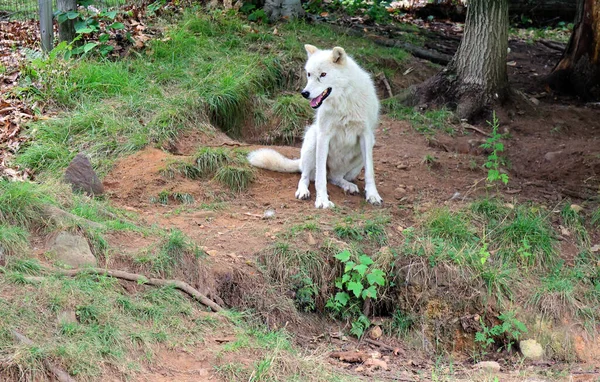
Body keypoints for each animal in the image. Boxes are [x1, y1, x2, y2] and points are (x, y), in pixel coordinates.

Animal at [248, 44, 384, 209]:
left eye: (323, 74)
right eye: (309, 74)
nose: (304, 93)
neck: (343, 100)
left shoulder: (366, 135)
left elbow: (370, 172)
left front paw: (373, 196)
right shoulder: (324, 135)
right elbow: (320, 179)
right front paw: (322, 200)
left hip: (367, 148)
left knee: (335, 177)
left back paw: (348, 186)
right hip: (313, 139)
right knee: (305, 177)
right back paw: (303, 192)